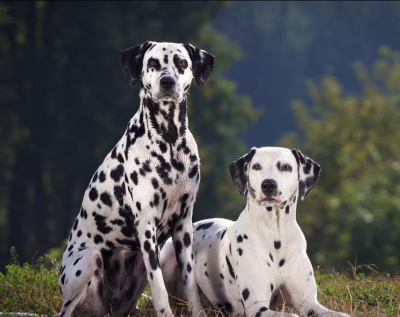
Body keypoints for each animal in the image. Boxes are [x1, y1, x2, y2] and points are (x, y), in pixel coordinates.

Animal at [57, 41, 214, 316]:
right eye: (152, 62)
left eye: (182, 63)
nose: (167, 81)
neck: (170, 141)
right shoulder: (147, 227)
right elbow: (159, 286)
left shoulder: (183, 225)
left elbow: (190, 282)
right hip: (89, 259)